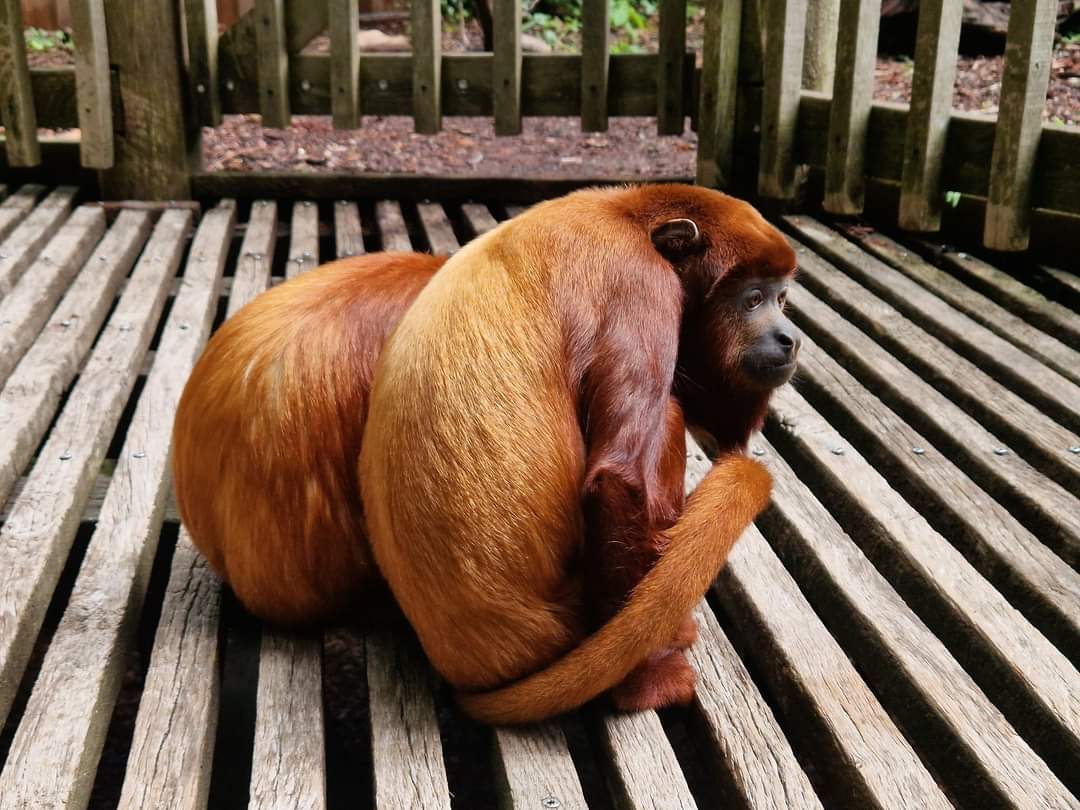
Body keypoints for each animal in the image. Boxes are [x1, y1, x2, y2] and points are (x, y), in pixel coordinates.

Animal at [359, 184, 800, 724]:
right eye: (752, 298)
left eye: (781, 297)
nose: (789, 338)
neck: (628, 214)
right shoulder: (641, 282)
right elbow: (617, 476)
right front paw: (647, 682)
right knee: (667, 418)